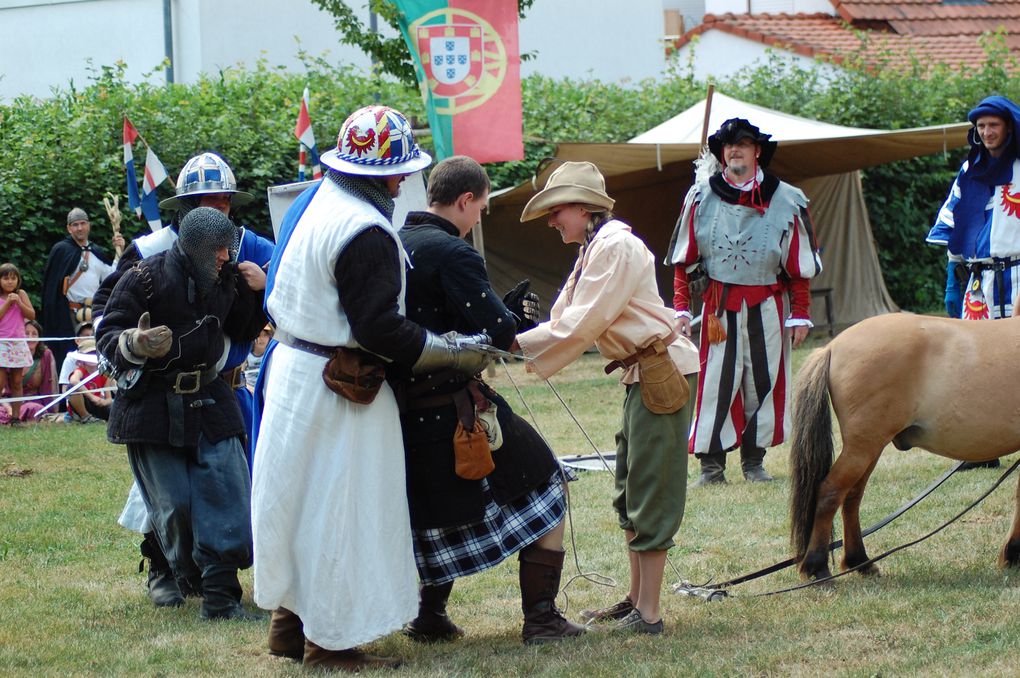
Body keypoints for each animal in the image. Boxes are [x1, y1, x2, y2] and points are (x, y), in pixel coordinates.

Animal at [791, 311, 1020, 575]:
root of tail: (832, 346)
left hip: (869, 449)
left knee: (852, 498)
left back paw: (859, 561)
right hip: (862, 448)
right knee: (830, 492)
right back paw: (816, 567)